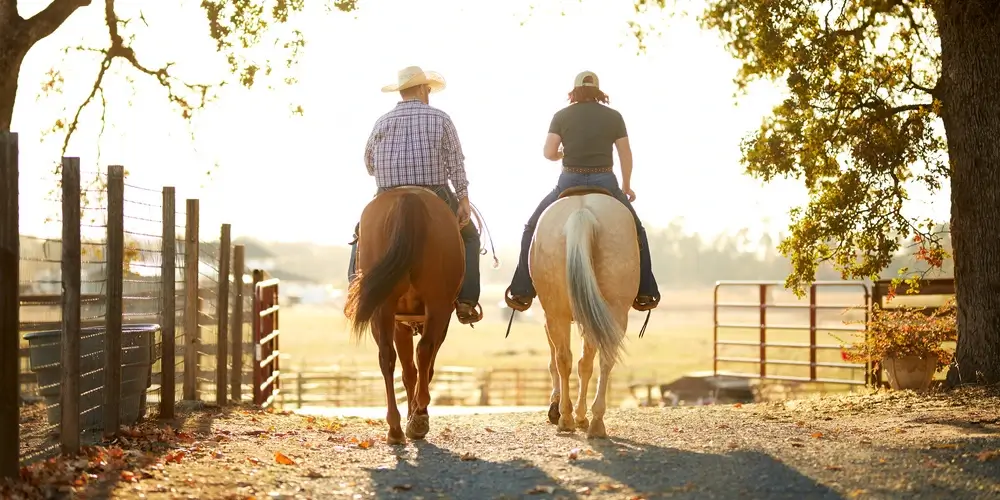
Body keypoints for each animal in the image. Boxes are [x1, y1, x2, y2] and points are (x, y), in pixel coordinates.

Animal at [344, 187, 465, 445]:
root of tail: (409, 197)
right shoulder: (431, 322)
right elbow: (418, 370)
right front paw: (416, 413)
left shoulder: (400, 322)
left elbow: (409, 370)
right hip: (436, 306)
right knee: (423, 353)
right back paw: (417, 417)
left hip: (385, 308)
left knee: (388, 357)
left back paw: (396, 427)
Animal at [529, 187, 639, 438]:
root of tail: (581, 213)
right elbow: (585, 364)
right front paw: (578, 413)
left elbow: (562, 362)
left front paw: (560, 408)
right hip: (613, 312)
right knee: (601, 359)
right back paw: (593, 420)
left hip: (558, 312)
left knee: (564, 359)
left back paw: (568, 418)